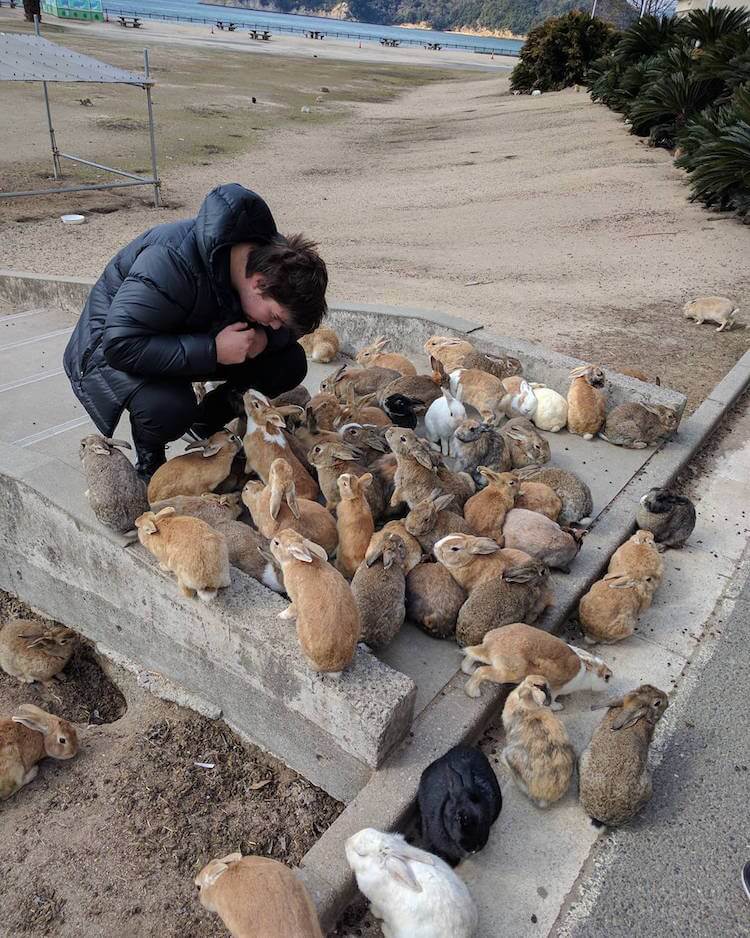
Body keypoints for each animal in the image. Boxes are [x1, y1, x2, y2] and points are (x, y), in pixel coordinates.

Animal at [270, 528, 362, 672]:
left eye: (277, 543)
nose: (271, 541)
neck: (294, 561)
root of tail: (331, 667)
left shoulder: (295, 599)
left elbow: (291, 609)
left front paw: (280, 616)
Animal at [348, 828, 482, 936]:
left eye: (360, 853)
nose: (346, 842)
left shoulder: (380, 905)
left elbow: (379, 911)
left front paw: (372, 910)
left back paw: (385, 929)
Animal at [462, 620, 612, 704]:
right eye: (607, 677)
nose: (609, 685)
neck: (587, 675)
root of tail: (491, 644)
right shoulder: (556, 690)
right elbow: (553, 701)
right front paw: (558, 707)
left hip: (489, 657)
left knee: (473, 655)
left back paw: (468, 669)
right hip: (509, 673)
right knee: (481, 671)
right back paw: (473, 692)